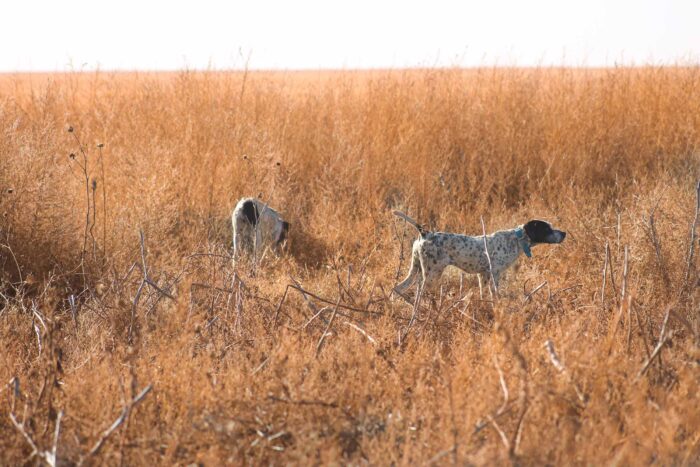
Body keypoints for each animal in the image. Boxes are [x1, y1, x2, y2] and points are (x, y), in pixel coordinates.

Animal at [392, 211, 568, 294]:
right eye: (547, 229)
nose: (564, 233)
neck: (516, 240)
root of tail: (425, 233)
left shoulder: (482, 275)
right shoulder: (494, 274)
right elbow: (494, 294)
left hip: (415, 270)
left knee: (397, 289)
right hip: (431, 274)